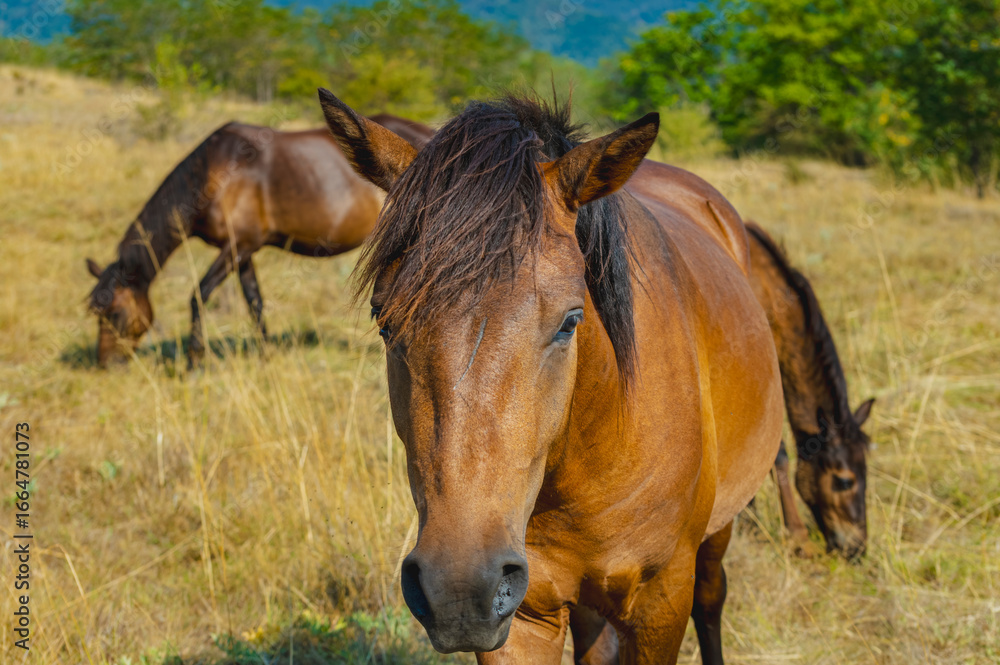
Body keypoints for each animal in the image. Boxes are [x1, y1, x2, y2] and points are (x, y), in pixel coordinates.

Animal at [86, 120, 386, 367]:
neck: (213, 172)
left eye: (114, 313)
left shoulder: (237, 246)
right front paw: (265, 357)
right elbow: (255, 301)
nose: (107, 364)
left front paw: (194, 363)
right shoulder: (245, 251)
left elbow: (199, 295)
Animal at [319, 89, 784, 664]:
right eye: (384, 321)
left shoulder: (661, 602)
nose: (458, 589)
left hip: (718, 532)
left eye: (570, 321)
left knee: (712, 598)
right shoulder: (524, 615)